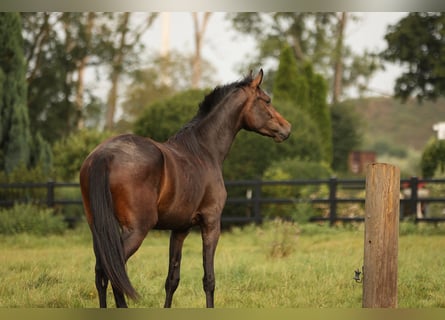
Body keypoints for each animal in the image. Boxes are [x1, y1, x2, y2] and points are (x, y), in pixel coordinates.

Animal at [79, 69, 292, 308]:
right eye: (267, 101)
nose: (287, 128)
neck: (203, 151)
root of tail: (105, 155)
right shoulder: (211, 223)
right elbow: (209, 279)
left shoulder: (180, 229)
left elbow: (172, 279)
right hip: (136, 230)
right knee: (113, 271)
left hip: (99, 230)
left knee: (101, 273)